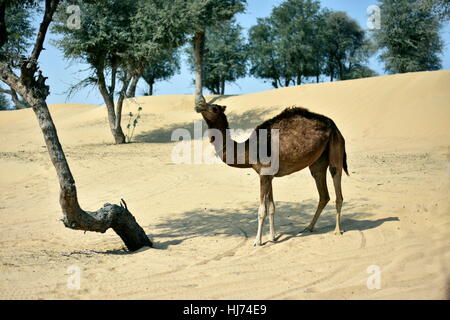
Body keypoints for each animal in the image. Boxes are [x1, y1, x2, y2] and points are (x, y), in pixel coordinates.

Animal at [195, 102, 350, 248]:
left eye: (214, 108)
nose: (199, 105)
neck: (248, 150)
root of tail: (334, 126)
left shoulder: (264, 174)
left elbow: (262, 210)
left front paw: (258, 241)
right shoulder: (269, 176)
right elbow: (271, 207)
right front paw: (272, 237)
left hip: (335, 145)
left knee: (336, 181)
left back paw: (337, 230)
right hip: (318, 162)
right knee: (323, 194)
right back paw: (308, 228)